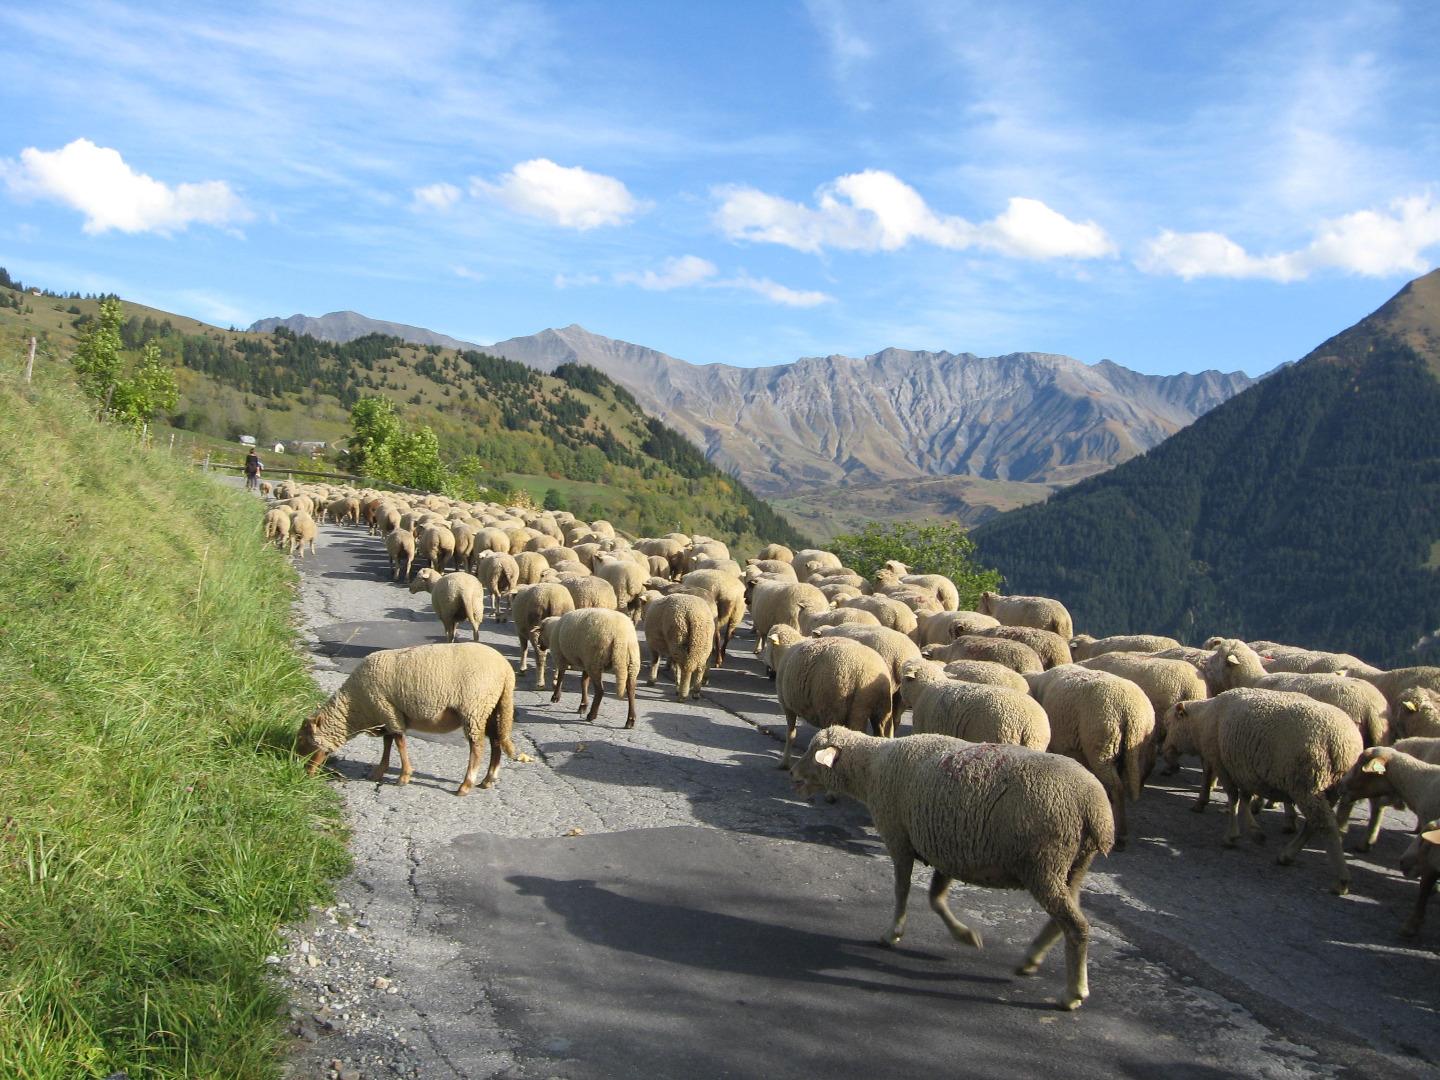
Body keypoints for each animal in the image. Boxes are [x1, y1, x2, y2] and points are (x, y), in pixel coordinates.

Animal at [296, 642, 522, 796]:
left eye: (303, 740)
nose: (304, 771)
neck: (355, 708)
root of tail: (506, 672)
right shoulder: (386, 713)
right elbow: (388, 743)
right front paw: (379, 771)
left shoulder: (388, 710)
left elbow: (399, 742)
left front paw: (404, 776)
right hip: (491, 708)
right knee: (496, 742)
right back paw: (488, 779)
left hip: (474, 707)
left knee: (478, 747)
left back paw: (466, 785)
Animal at [774, 635, 893, 769]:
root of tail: (865, 675)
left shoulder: (787, 706)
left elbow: (790, 734)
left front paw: (784, 763)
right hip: (882, 710)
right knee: (885, 733)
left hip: (838, 711)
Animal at [790, 727, 1112, 1010]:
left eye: (813, 752)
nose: (793, 774)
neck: (872, 767)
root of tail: (1095, 809)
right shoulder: (944, 845)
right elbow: (936, 898)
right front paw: (965, 935)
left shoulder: (899, 837)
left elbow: (902, 890)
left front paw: (893, 933)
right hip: (1071, 866)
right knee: (1065, 917)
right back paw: (1030, 960)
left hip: (1044, 863)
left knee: (1076, 925)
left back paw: (1073, 993)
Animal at [1163, 689, 1362, 894]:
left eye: (1169, 724)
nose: (1164, 750)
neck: (1201, 722)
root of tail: (1346, 744)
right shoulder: (1243, 767)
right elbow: (1244, 799)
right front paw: (1255, 831)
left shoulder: (1222, 763)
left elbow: (1233, 797)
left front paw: (1232, 835)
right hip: (1326, 789)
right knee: (1313, 824)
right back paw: (1287, 855)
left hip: (1309, 784)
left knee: (1326, 826)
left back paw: (1341, 880)